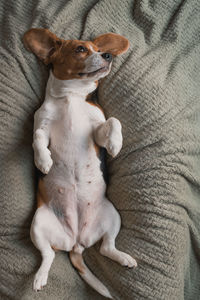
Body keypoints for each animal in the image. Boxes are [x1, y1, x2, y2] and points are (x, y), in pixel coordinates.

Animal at [22, 27, 137, 298]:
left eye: (99, 49)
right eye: (80, 49)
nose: (107, 55)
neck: (71, 97)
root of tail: (76, 242)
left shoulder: (97, 131)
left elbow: (113, 121)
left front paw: (115, 144)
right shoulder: (41, 125)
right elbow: (37, 138)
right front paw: (43, 161)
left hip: (112, 216)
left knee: (106, 247)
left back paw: (124, 257)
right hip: (38, 224)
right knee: (48, 255)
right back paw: (40, 277)